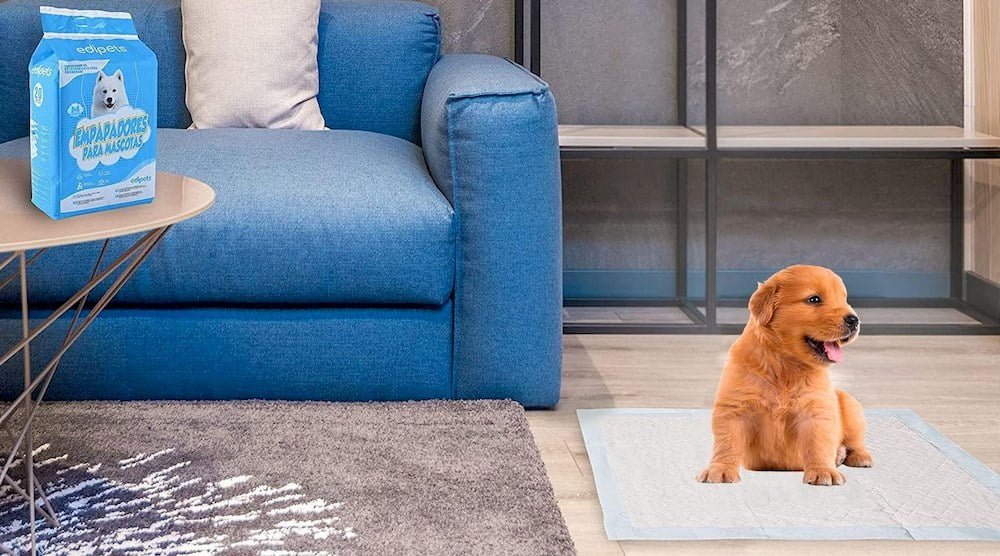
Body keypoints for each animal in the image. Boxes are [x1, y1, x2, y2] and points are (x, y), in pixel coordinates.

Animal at [700, 266, 872, 486]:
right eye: (814, 299)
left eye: (844, 299)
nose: (854, 320)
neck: (785, 365)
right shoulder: (734, 408)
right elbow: (727, 442)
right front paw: (720, 469)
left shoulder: (816, 410)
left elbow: (818, 443)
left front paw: (823, 470)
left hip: (850, 405)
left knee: (855, 441)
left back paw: (856, 456)